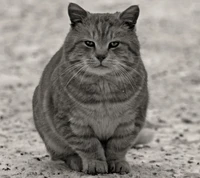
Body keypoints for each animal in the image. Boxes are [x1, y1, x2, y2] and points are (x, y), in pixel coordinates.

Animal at [32, 2, 153, 175]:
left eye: (114, 44)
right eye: (89, 43)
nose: (101, 56)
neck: (104, 91)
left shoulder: (130, 122)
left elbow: (118, 146)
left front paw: (117, 162)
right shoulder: (73, 123)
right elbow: (89, 145)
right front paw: (95, 163)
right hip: (50, 136)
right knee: (63, 155)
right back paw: (76, 161)